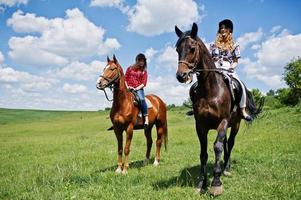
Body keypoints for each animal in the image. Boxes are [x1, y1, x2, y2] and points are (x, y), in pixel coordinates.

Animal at [173, 23, 262, 195]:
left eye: (192, 48)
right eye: (177, 49)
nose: (181, 75)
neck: (210, 90)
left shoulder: (223, 122)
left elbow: (217, 147)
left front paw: (216, 183)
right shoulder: (200, 125)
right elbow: (203, 152)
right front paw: (201, 183)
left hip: (235, 124)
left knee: (230, 143)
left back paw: (226, 169)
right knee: (226, 143)